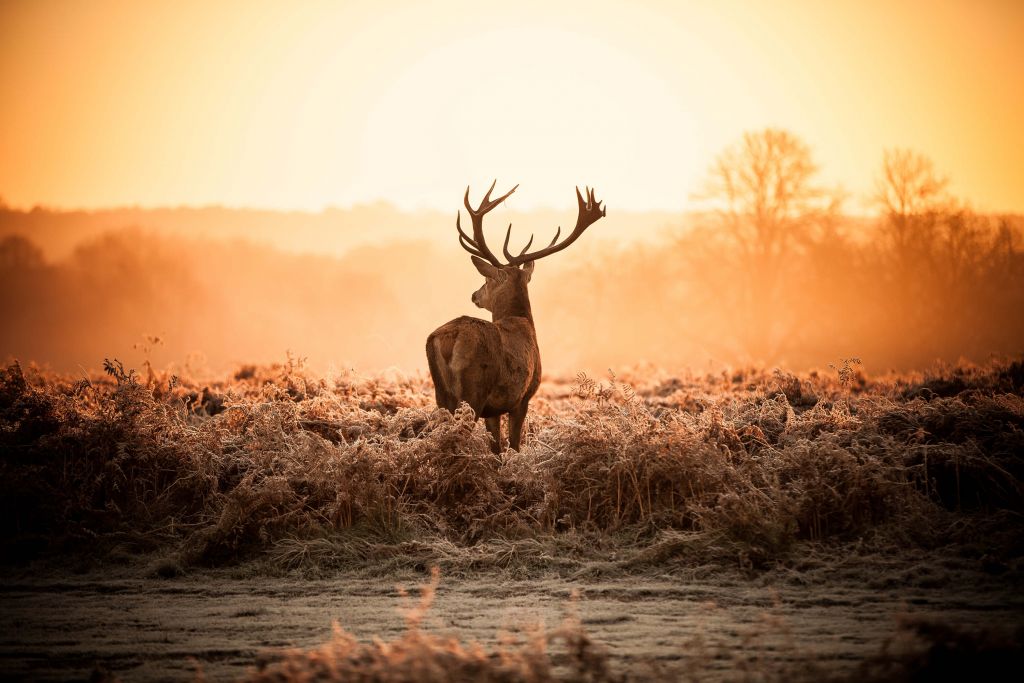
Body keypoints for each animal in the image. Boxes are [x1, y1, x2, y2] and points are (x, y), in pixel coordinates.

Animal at [425, 183, 602, 454]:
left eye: (486, 280)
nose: (474, 295)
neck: (521, 321)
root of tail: (447, 338)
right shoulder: (523, 397)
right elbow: (515, 445)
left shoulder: (493, 410)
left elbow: (496, 448)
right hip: (473, 390)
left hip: (441, 394)